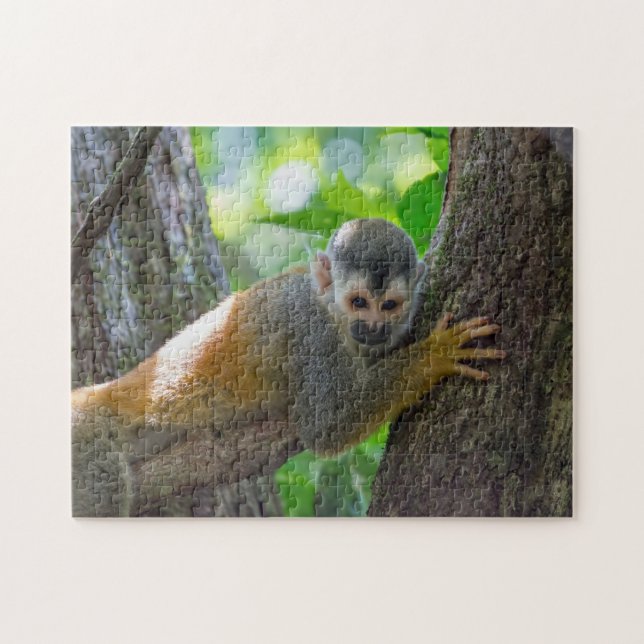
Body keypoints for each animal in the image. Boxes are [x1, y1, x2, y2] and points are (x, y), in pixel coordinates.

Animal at [72, 218, 505, 516]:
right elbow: (328, 426)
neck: (329, 309)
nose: (373, 327)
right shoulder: (311, 334)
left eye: (389, 305)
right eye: (359, 302)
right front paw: (436, 354)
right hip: (87, 443)